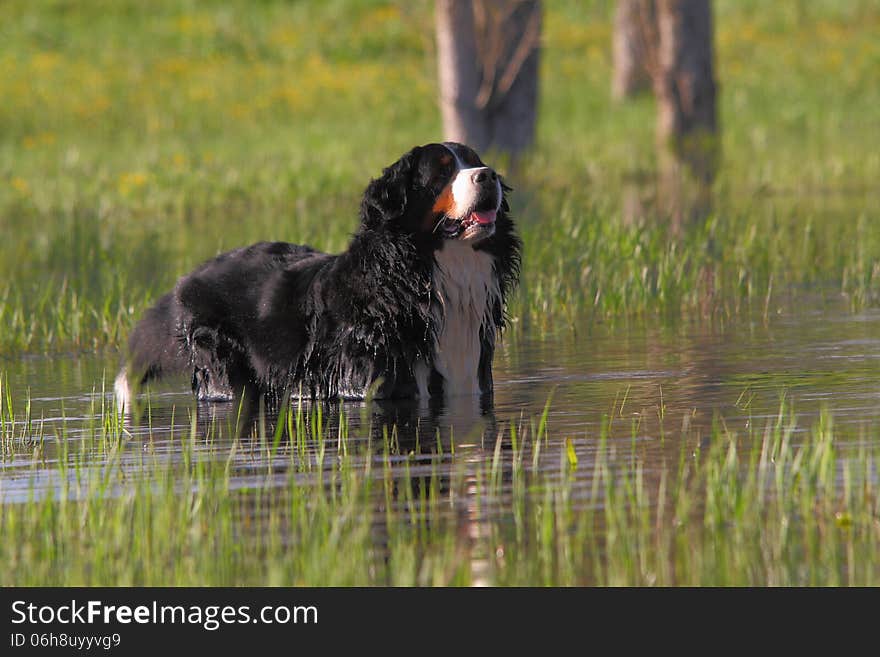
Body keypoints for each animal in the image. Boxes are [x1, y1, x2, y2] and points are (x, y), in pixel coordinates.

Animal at [113, 142, 520, 410]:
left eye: (476, 162)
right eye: (441, 171)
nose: (488, 176)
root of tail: (187, 279)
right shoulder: (366, 382)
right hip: (222, 365)